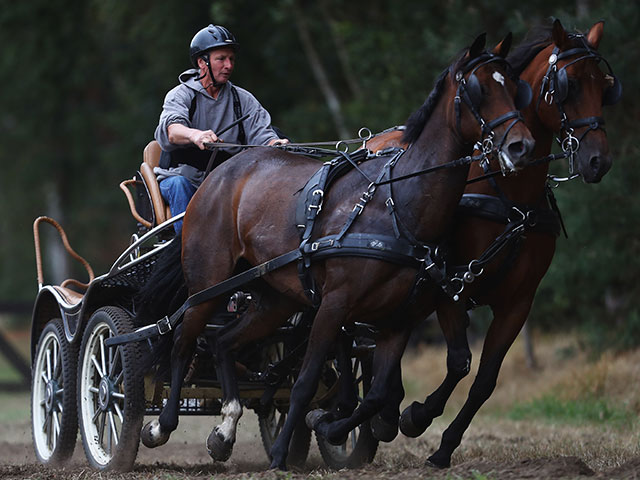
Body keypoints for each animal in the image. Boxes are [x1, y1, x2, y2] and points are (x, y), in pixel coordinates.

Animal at [139, 32, 536, 468]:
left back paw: (225, 429)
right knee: (183, 339)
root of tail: (216, 177)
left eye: (515, 86)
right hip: (209, 283)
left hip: (273, 297)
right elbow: (306, 381)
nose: (522, 146)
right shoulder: (334, 304)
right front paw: (283, 454)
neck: (395, 204)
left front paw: (332, 427)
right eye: (478, 89)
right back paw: (161, 425)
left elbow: (377, 392)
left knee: (222, 341)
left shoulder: (398, 318)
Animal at [368, 19, 624, 468]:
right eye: (570, 84)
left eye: (605, 85)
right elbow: (458, 362)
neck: (509, 196)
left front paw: (444, 446)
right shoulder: (448, 285)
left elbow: (485, 378)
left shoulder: (517, 302)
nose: (598, 161)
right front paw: (416, 416)